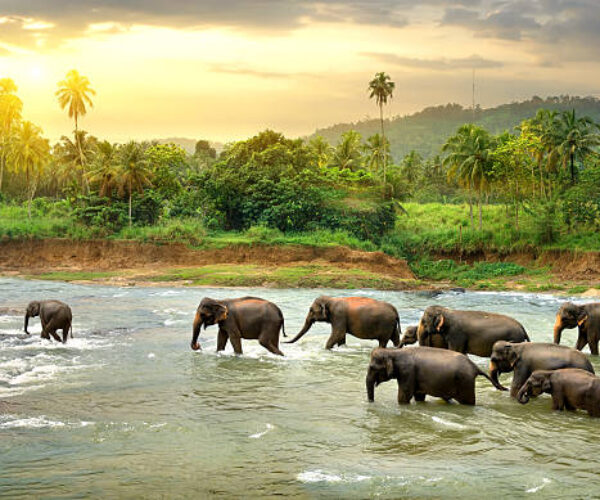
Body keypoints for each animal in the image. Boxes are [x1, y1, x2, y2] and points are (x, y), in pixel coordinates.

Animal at [366, 348, 506, 406]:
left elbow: (404, 396)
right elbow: (419, 396)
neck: (393, 351)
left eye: (372, 367)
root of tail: (475, 366)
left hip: (465, 382)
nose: (371, 402)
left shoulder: (407, 372)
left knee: (468, 402)